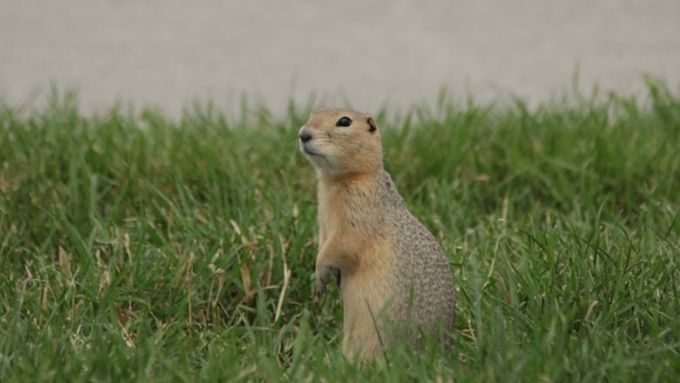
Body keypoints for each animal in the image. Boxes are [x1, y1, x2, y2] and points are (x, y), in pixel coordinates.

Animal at [298, 109, 454, 362]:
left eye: (344, 121)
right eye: (312, 113)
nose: (303, 134)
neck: (338, 180)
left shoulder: (356, 215)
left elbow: (341, 246)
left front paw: (320, 278)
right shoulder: (324, 224)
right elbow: (324, 243)